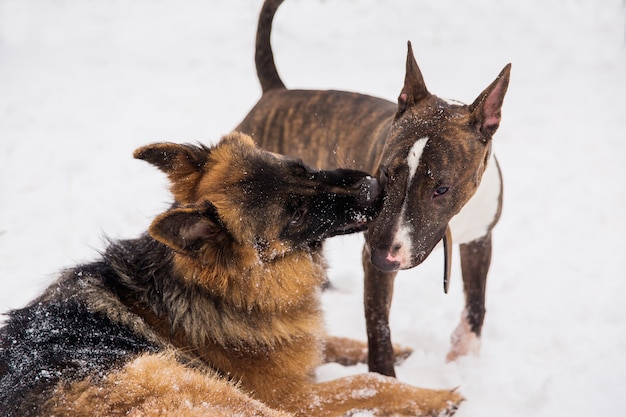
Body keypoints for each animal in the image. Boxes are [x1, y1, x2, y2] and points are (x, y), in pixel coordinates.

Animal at [0, 132, 458, 416]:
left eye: (300, 168)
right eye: (295, 216)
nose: (372, 187)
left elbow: (329, 342)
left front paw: (395, 351)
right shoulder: (295, 398)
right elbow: (369, 384)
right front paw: (435, 395)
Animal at [236, 0, 510, 376]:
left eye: (441, 188)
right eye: (386, 173)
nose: (383, 256)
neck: (454, 223)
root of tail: (275, 92)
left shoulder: (480, 237)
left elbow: (477, 298)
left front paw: (464, 352)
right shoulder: (375, 258)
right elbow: (378, 324)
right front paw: (385, 379)